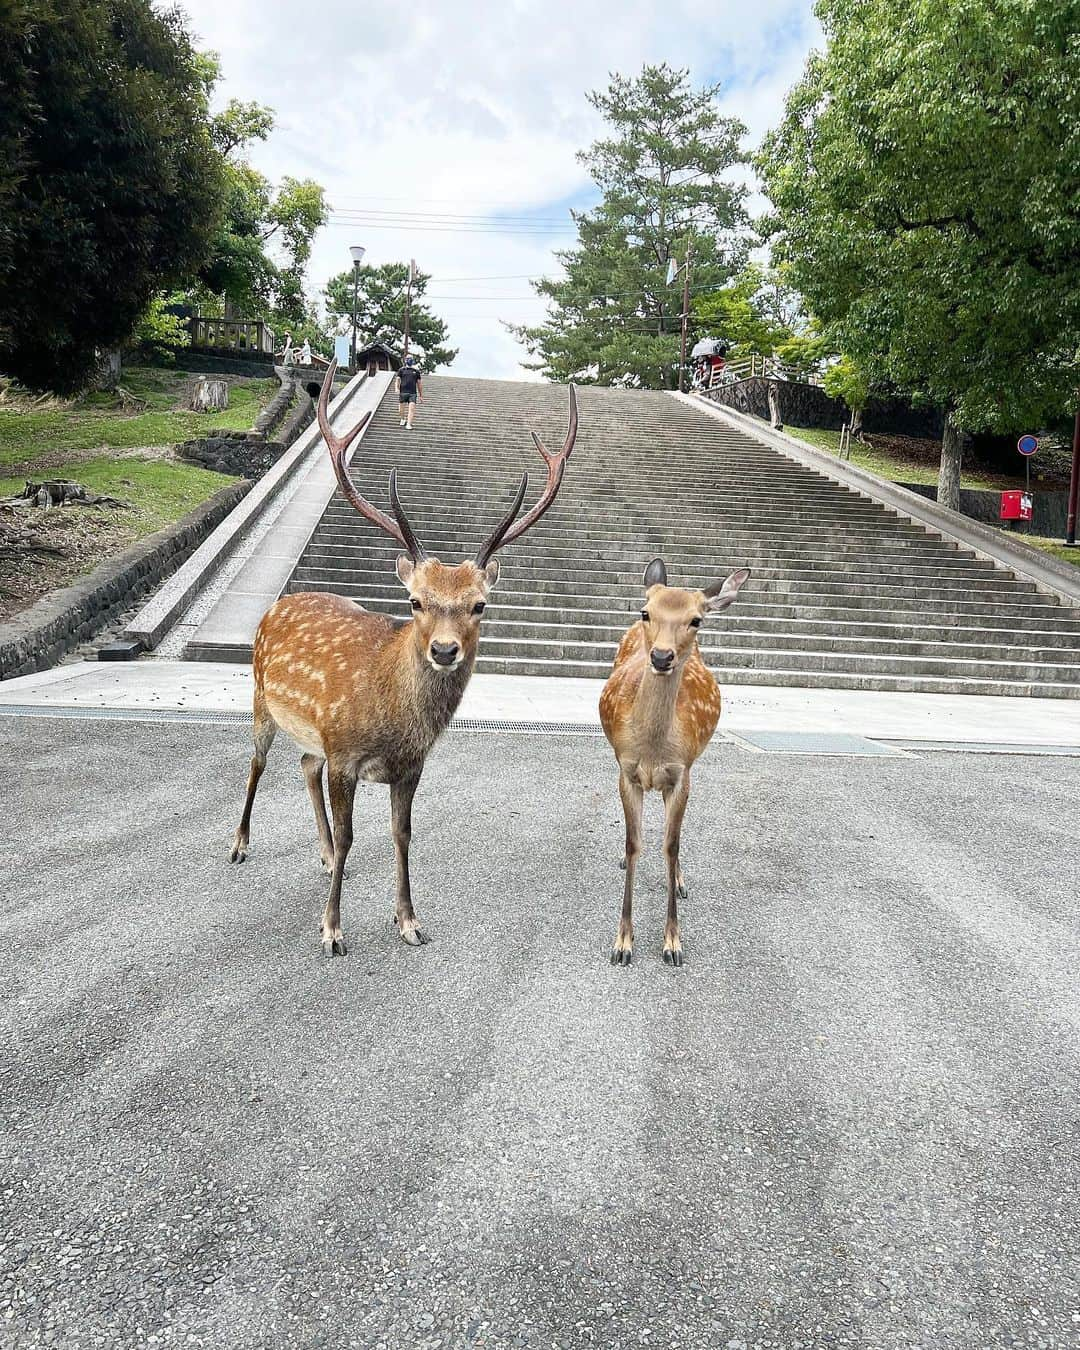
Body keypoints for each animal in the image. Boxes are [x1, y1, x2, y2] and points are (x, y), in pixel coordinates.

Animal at [230, 361, 577, 961]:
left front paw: (409, 921)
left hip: (310, 732)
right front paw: (332, 930)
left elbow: (402, 833)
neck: (392, 720)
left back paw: (323, 855)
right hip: (259, 698)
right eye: (414, 601)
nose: (444, 649)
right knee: (255, 763)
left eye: (479, 604)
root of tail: (278, 603)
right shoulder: (345, 753)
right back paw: (241, 844)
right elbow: (353, 835)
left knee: (304, 765)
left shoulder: (410, 767)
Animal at [599, 553, 750, 966]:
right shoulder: (626, 771)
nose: (662, 656)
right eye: (646, 612)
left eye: (696, 620)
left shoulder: (681, 774)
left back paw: (680, 880)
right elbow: (635, 844)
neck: (653, 750)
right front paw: (623, 942)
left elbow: (670, 845)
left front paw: (672, 943)